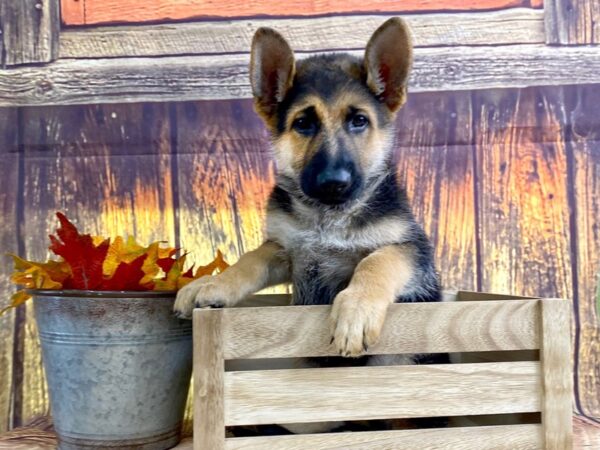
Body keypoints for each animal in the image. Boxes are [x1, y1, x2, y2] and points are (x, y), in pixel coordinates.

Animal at [173, 16, 440, 362]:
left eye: (359, 121)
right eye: (303, 123)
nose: (334, 182)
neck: (327, 215)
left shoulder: (414, 251)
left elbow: (377, 261)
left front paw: (356, 309)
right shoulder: (284, 248)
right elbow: (250, 258)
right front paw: (214, 283)